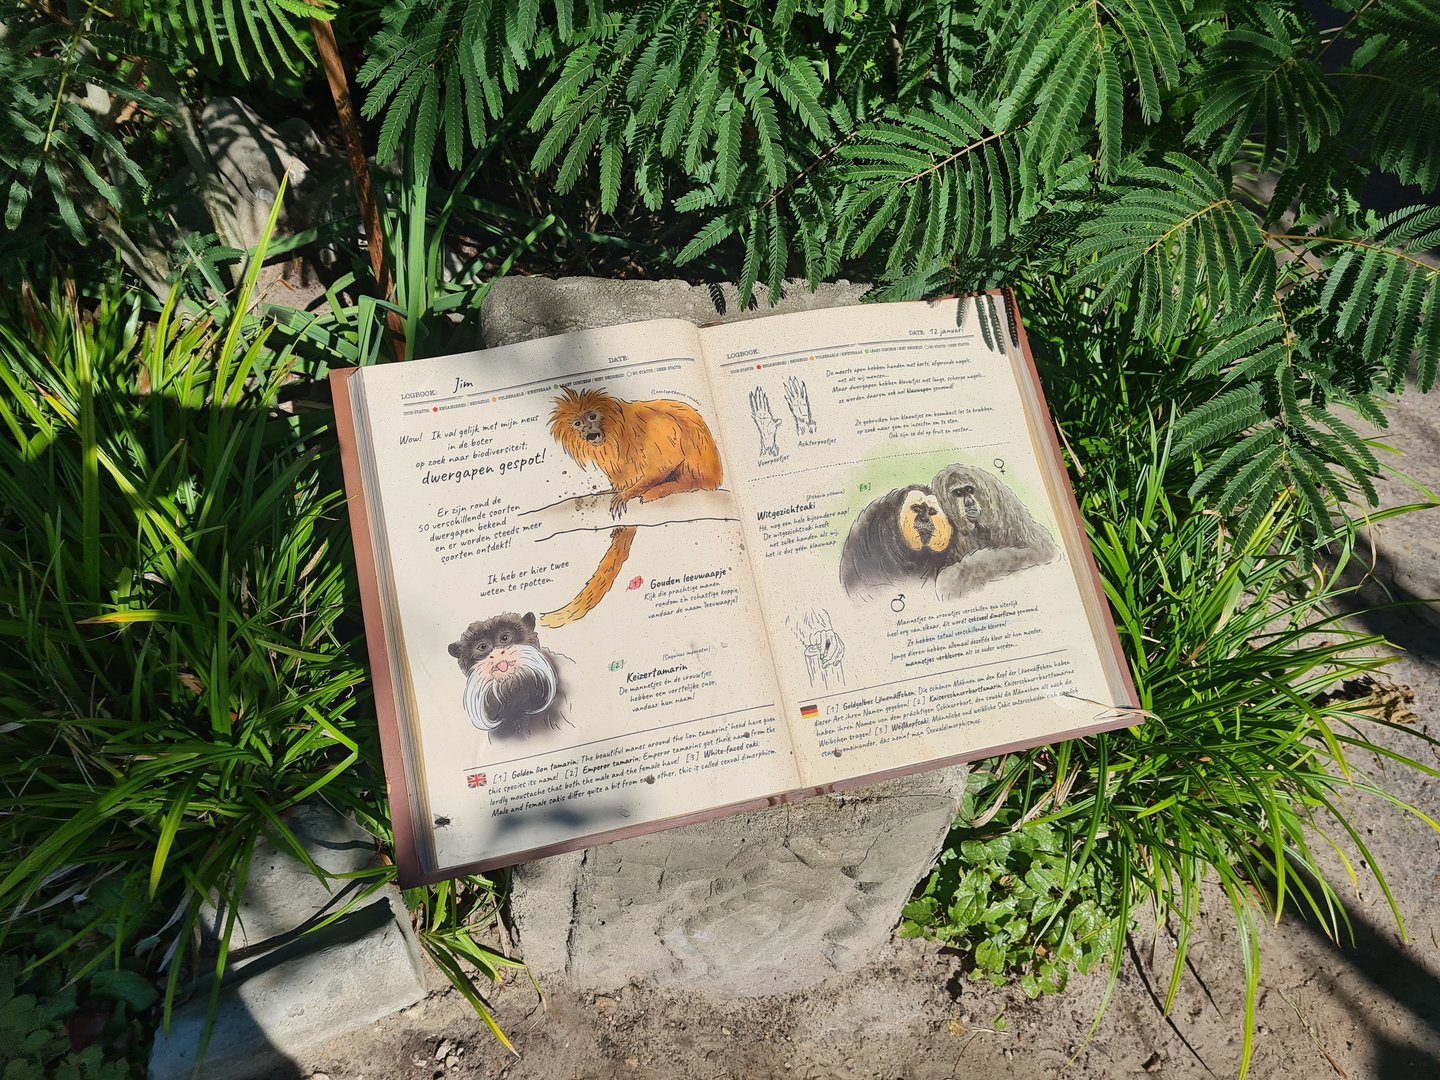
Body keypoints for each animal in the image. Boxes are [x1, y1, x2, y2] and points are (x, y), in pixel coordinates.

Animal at [542, 386, 724, 627]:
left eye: (592, 416)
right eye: (577, 423)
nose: (589, 432)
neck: (614, 434)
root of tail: (716, 476)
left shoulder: (656, 429)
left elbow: (668, 458)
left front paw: (629, 493)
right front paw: (615, 494)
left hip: (702, 471)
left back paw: (667, 487)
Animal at [930, 464, 1059, 599]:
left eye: (969, 490)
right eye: (958, 493)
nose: (969, 502)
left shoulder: (1000, 505)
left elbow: (1038, 550)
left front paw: (953, 578)